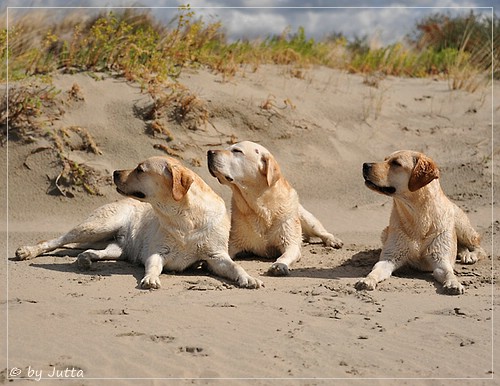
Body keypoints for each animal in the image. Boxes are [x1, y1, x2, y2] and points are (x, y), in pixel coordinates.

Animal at [16, 157, 262, 290]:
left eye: (140, 169)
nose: (115, 172)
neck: (185, 218)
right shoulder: (156, 252)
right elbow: (153, 266)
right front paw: (150, 279)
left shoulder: (216, 257)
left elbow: (236, 266)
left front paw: (249, 278)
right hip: (98, 226)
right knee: (56, 241)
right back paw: (28, 251)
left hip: (116, 248)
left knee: (93, 251)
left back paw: (85, 259)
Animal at [207, 140, 344, 276]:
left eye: (237, 151)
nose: (209, 152)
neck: (260, 208)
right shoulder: (234, 241)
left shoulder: (290, 242)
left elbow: (285, 255)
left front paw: (279, 265)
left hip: (306, 219)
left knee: (321, 231)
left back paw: (333, 240)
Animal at [358, 151, 486, 296]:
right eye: (385, 160)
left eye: (396, 163)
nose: (365, 165)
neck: (419, 216)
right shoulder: (389, 257)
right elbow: (375, 270)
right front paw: (367, 280)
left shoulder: (441, 260)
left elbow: (449, 273)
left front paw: (454, 283)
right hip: (385, 232)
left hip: (461, 226)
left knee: (479, 248)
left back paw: (470, 255)